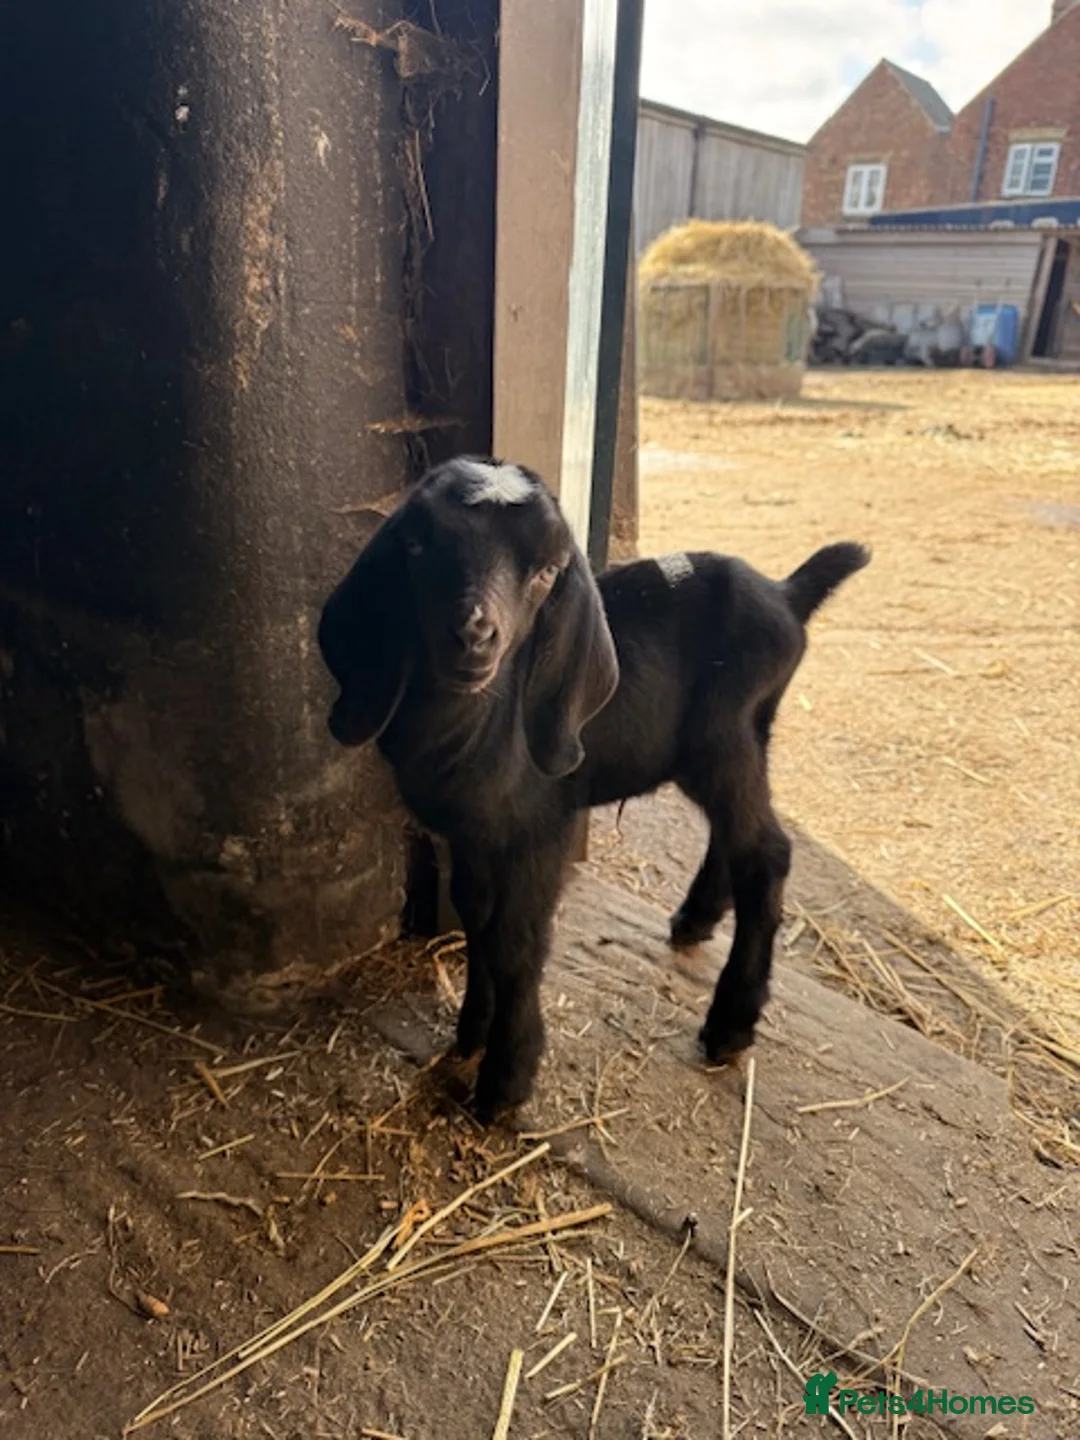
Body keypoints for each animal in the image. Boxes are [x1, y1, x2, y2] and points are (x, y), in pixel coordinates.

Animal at [318, 457, 869, 1119]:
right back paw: (696, 918)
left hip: (724, 738)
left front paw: (505, 1078)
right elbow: (477, 918)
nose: (474, 635)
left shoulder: (540, 828)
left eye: (548, 570)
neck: (474, 731)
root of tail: (787, 595)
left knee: (766, 852)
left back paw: (730, 1023)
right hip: (739, 740)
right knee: (737, 833)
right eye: (417, 546)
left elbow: (515, 940)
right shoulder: (471, 834)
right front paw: (470, 1032)